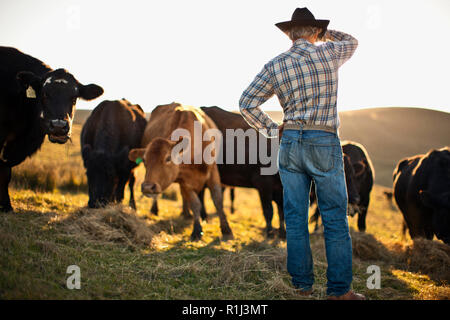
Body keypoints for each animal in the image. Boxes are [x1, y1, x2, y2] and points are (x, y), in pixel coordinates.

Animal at [126, 102, 232, 240]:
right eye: (144, 160)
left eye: (168, 158)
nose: (148, 187)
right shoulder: (185, 181)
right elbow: (195, 203)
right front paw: (197, 230)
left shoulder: (213, 171)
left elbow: (217, 199)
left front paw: (226, 229)